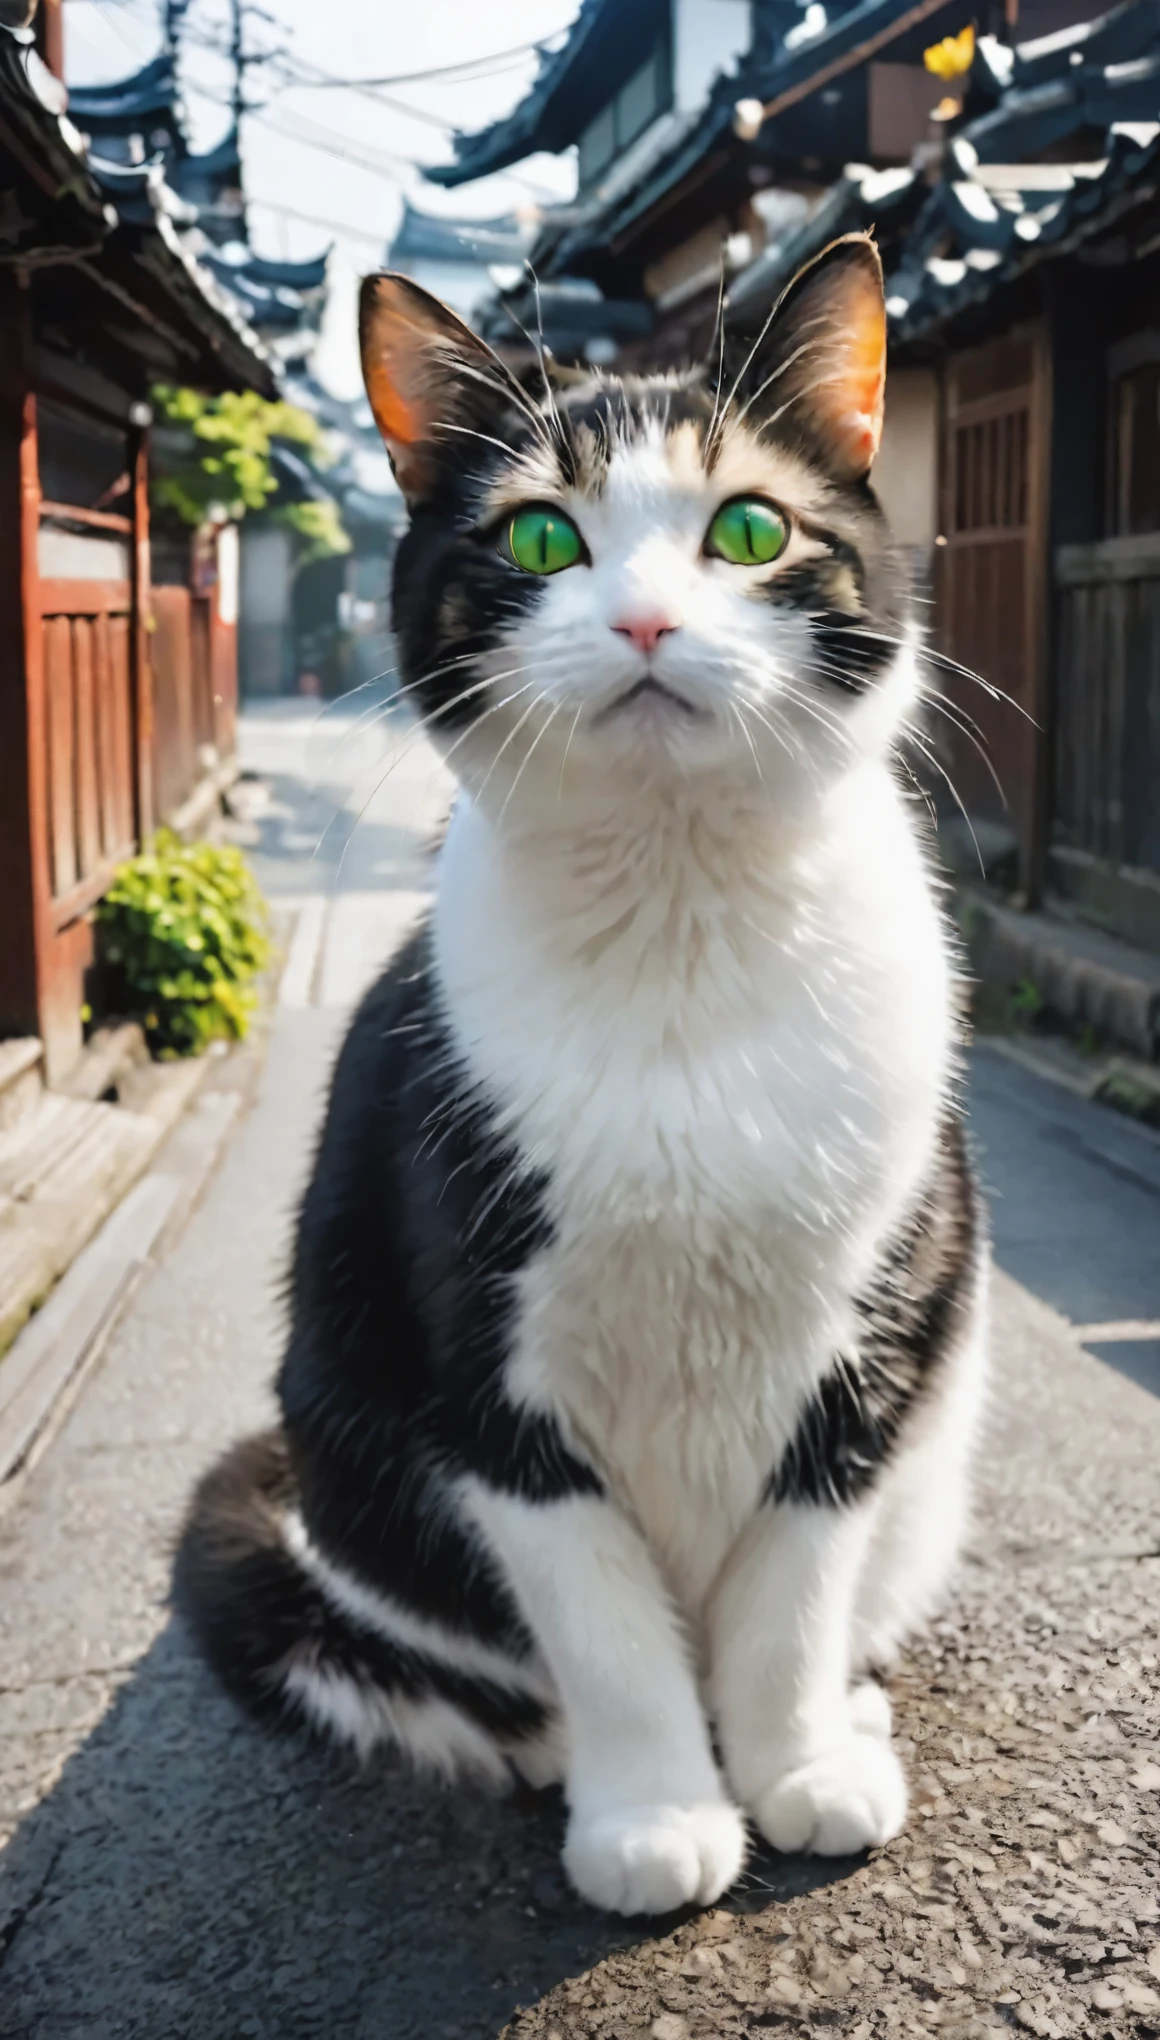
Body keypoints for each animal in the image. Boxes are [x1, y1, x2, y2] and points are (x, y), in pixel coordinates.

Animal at [178, 231, 986, 1917]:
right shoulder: (478, 1369)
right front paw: (656, 1811)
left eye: (749, 527)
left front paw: (797, 1763)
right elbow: (605, 1623)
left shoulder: (869, 1340)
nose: (645, 624)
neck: (679, 925)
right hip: (348, 1437)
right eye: (543, 534)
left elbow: (793, 1592)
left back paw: (853, 1719)